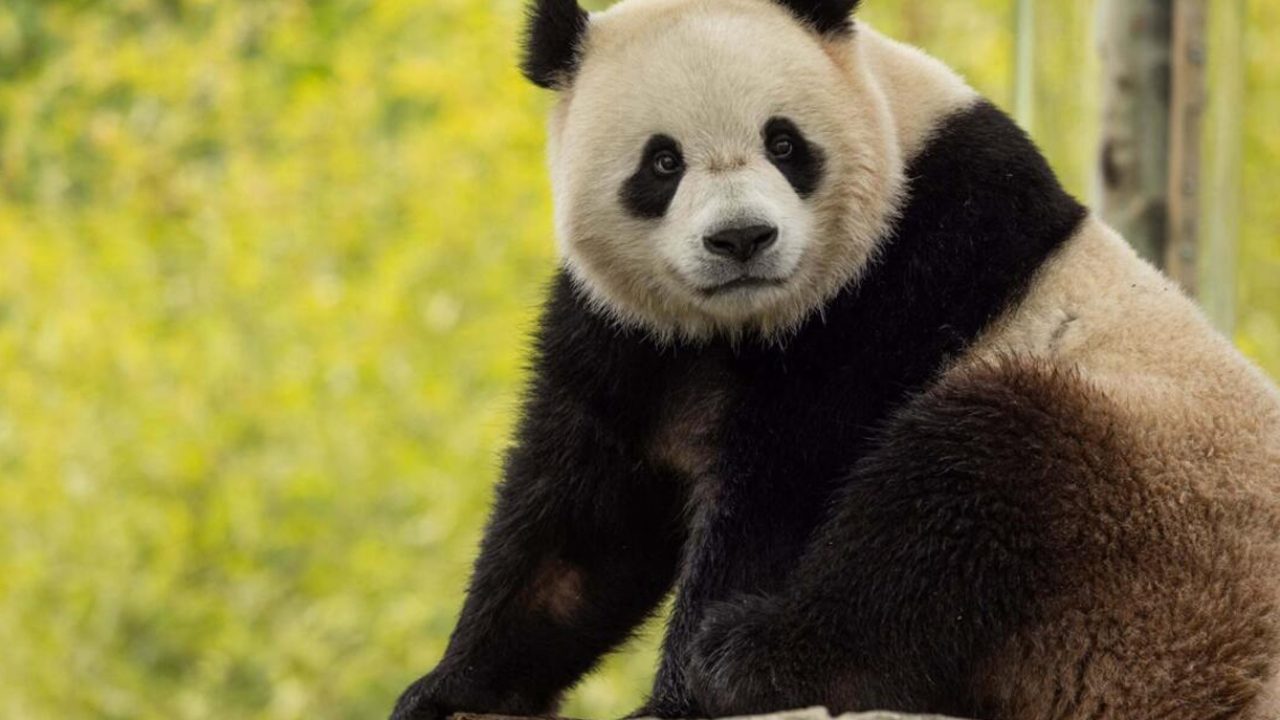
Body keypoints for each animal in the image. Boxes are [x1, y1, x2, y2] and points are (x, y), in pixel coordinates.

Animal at [393, 0, 1280, 718]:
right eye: (662, 161)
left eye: (785, 142)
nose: (743, 238)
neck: (742, 323)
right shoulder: (629, 332)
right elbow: (583, 516)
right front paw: (452, 687)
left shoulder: (902, 275)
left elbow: (784, 490)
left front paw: (675, 697)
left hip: (1149, 513)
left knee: (964, 490)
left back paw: (753, 657)